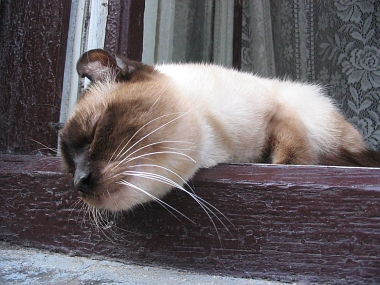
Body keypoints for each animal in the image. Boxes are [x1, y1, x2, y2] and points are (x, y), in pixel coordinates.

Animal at [59, 48, 380, 212]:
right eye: (68, 167)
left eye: (93, 133)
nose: (79, 182)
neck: (220, 147)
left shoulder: (279, 112)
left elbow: (290, 158)